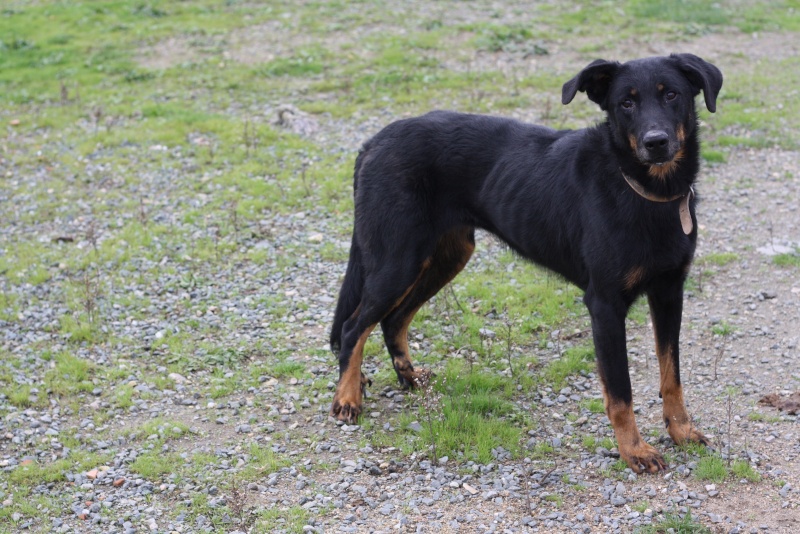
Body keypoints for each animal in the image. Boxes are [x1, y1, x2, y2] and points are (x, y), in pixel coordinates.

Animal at [328, 53, 720, 474]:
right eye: (626, 103)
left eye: (672, 95)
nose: (656, 142)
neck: (644, 190)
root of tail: (373, 143)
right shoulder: (605, 305)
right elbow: (620, 391)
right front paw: (634, 450)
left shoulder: (669, 293)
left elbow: (671, 375)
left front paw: (681, 430)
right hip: (397, 259)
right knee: (354, 327)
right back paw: (348, 398)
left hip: (445, 257)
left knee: (393, 319)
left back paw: (410, 377)